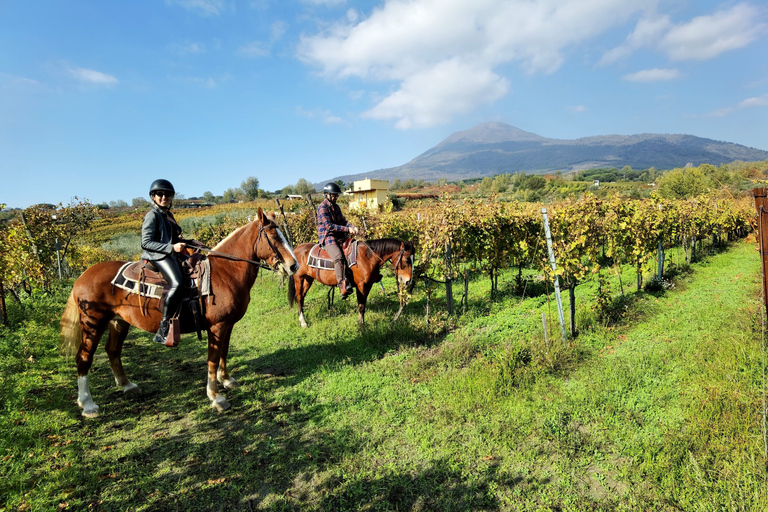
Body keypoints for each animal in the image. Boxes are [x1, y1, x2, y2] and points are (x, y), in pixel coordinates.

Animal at [58, 208, 298, 416]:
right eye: (273, 237)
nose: (293, 266)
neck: (224, 273)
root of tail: (83, 276)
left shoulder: (227, 325)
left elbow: (224, 352)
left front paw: (227, 381)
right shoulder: (217, 327)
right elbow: (212, 358)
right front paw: (216, 397)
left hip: (119, 322)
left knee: (113, 351)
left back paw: (127, 385)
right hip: (93, 323)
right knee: (84, 358)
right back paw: (88, 404)